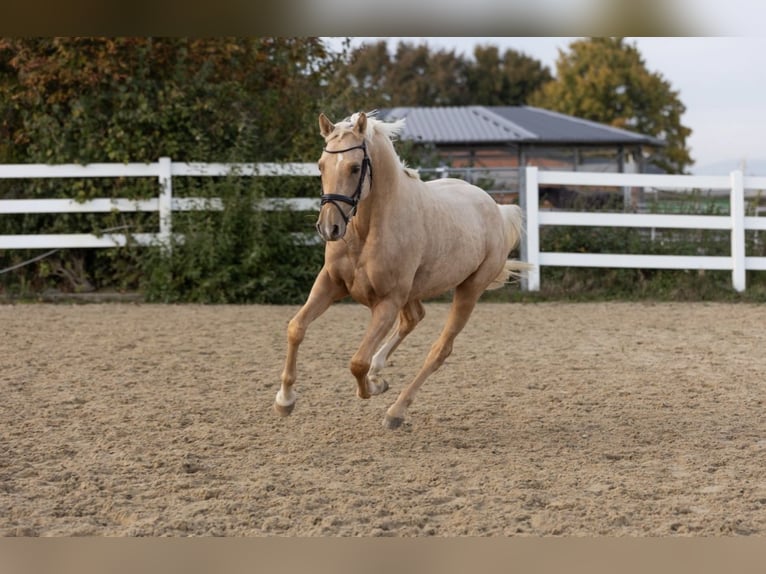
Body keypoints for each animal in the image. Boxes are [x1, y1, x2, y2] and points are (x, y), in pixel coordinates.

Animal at [276, 110, 536, 430]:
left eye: (354, 168)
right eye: (321, 166)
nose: (328, 228)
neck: (368, 230)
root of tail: (497, 209)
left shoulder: (387, 302)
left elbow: (357, 362)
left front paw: (371, 388)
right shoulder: (330, 283)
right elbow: (296, 328)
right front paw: (285, 400)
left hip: (469, 290)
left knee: (439, 350)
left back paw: (395, 411)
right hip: (415, 291)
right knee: (413, 319)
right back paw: (379, 376)